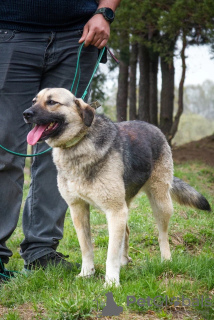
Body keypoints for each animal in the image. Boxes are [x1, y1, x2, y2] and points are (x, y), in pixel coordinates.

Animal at [23, 88, 211, 288]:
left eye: (52, 102)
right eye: (34, 100)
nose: (26, 114)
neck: (78, 143)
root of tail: (152, 126)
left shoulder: (114, 211)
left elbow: (110, 254)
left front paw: (112, 282)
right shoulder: (78, 210)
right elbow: (86, 248)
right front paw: (87, 273)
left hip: (160, 202)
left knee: (162, 234)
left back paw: (165, 260)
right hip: (125, 206)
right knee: (126, 233)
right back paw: (124, 261)